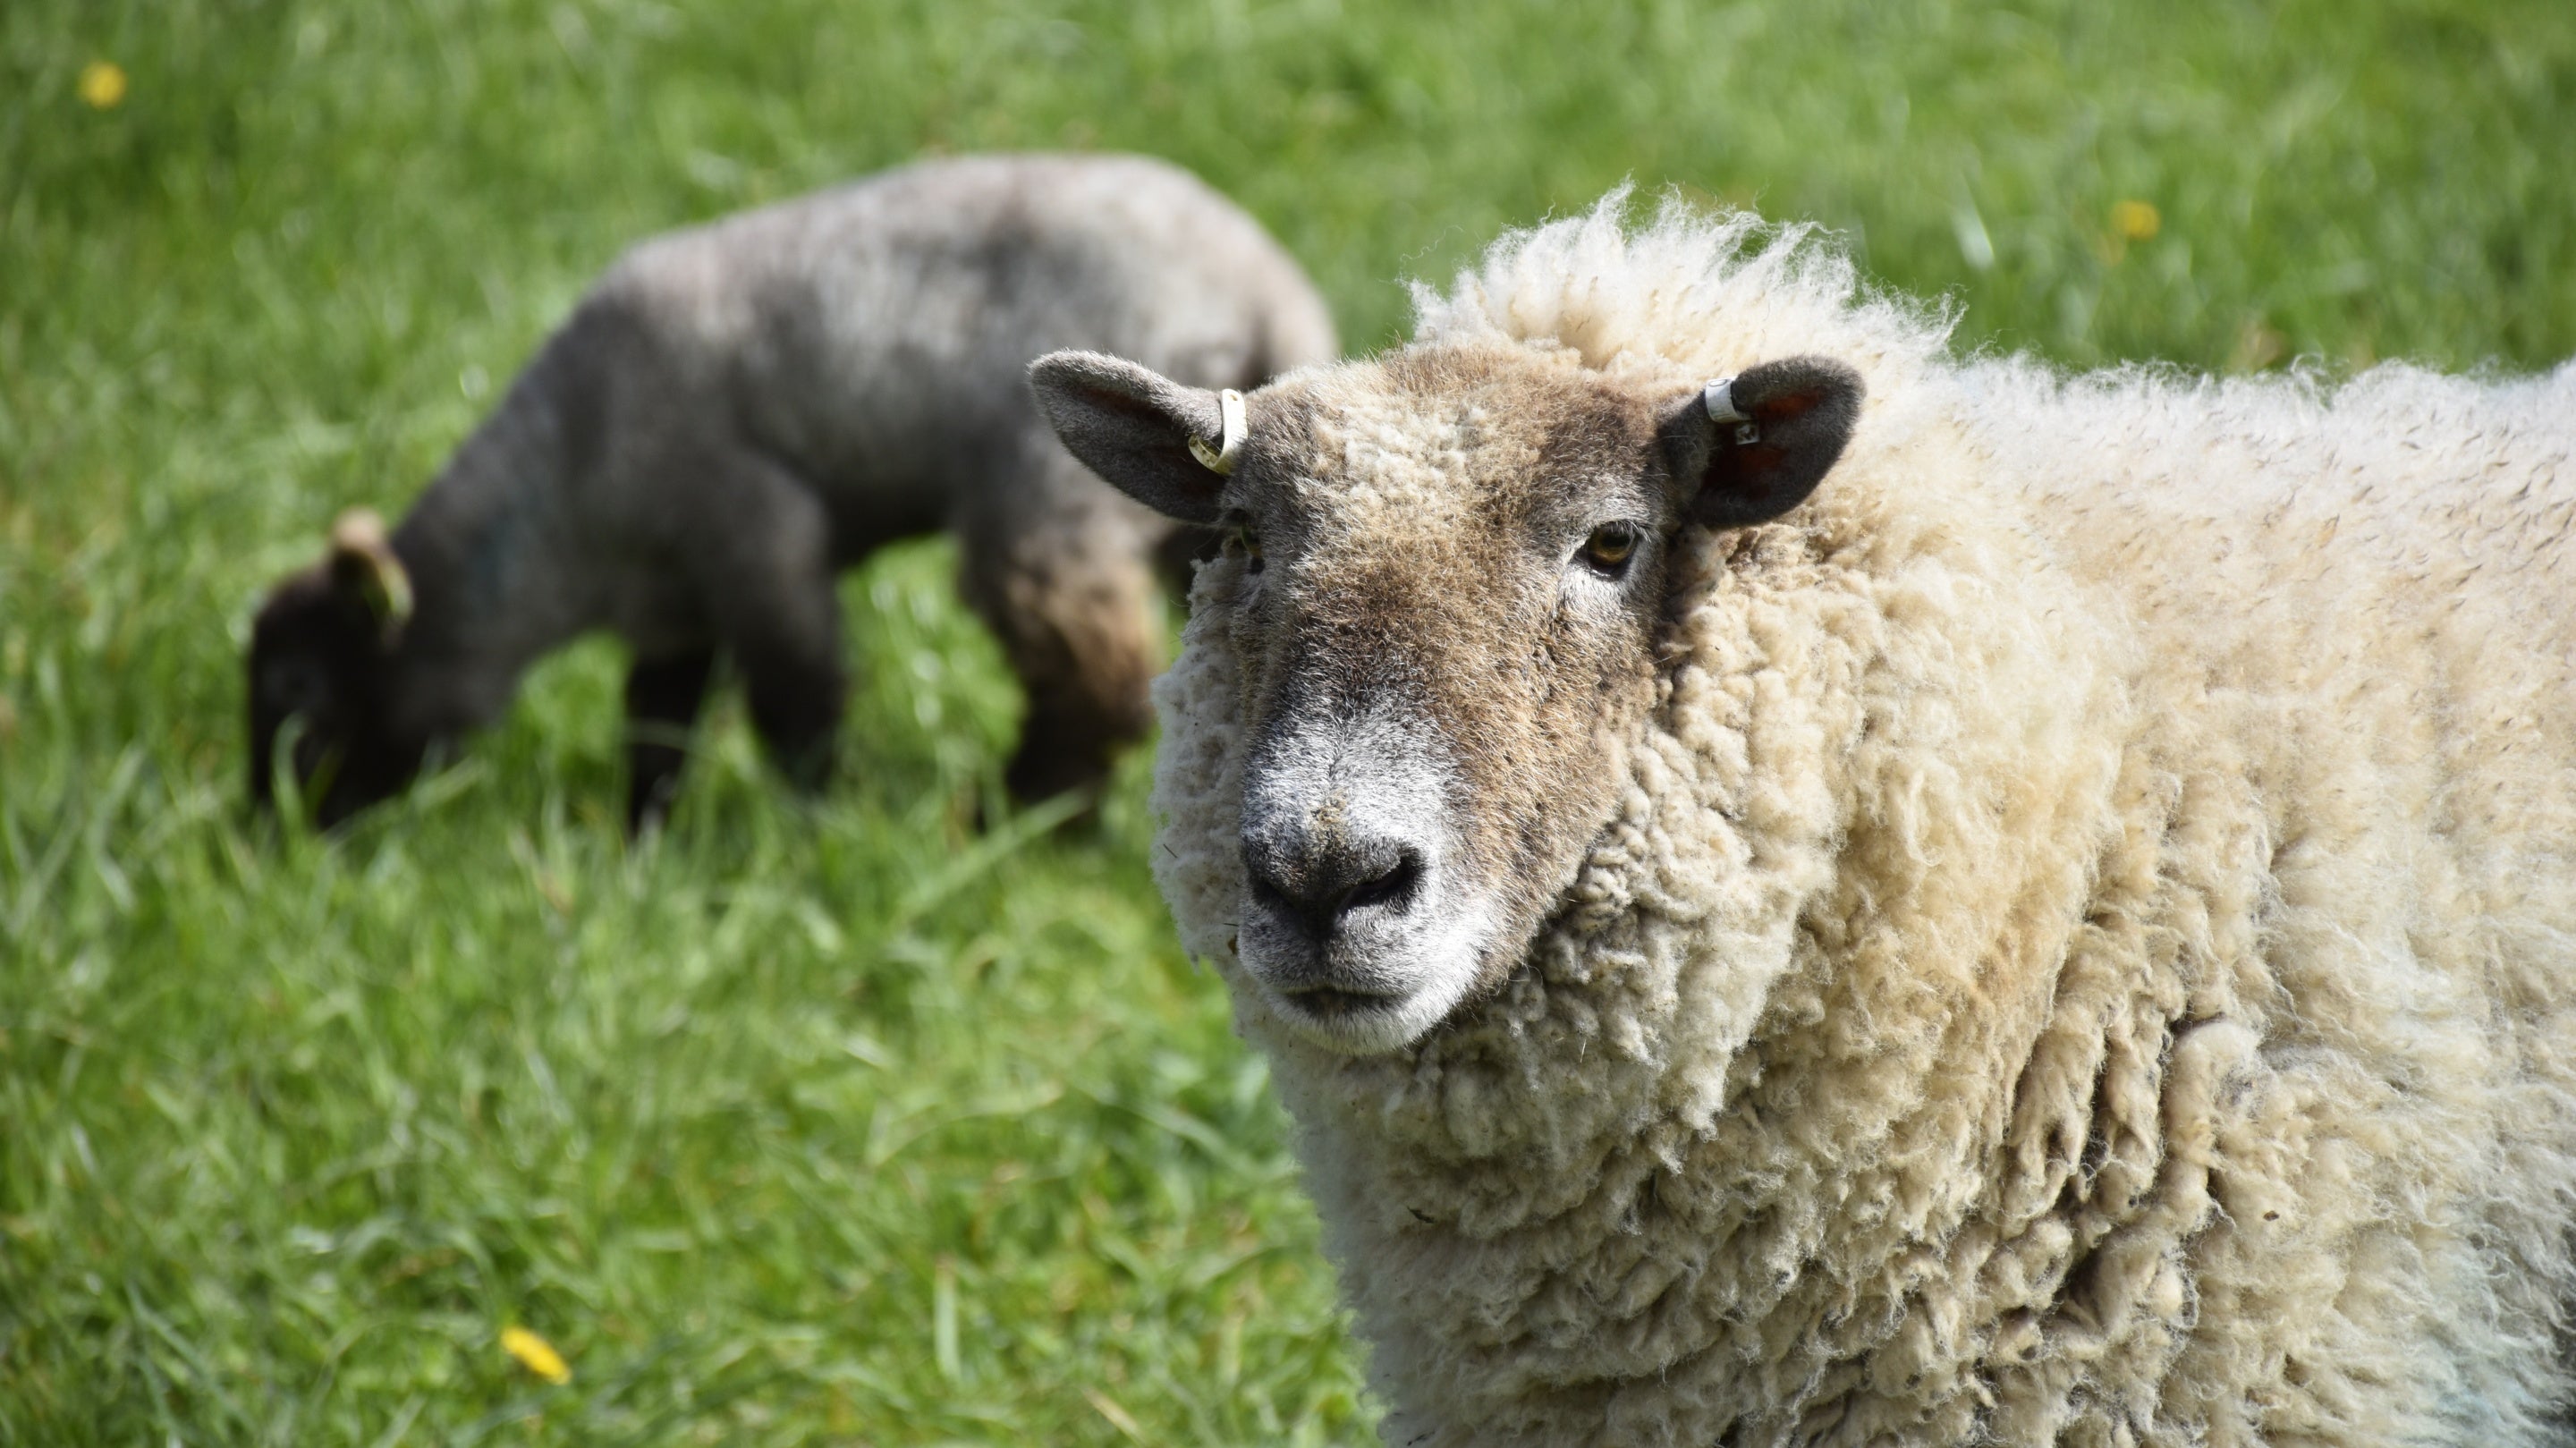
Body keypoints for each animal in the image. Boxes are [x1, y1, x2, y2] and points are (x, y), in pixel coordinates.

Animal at [247, 152, 1337, 832]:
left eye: (301, 688)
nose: (270, 838)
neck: (561, 505)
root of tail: (1270, 291)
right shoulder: (674, 603)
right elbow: (657, 722)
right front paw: (645, 838)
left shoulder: (753, 532)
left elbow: (796, 697)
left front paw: (814, 824)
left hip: (1044, 499)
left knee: (1093, 678)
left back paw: (1010, 821)